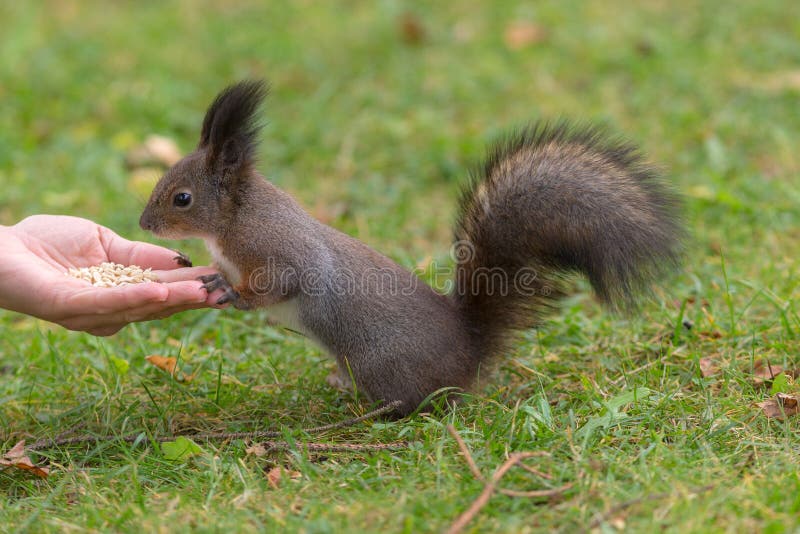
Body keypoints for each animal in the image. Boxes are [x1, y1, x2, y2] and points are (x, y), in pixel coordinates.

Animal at [139, 80, 683, 416]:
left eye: (182, 198)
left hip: (379, 362)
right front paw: (207, 271)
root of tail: (469, 352)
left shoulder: (275, 247)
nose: (144, 223)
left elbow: (282, 281)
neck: (231, 221)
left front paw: (233, 293)